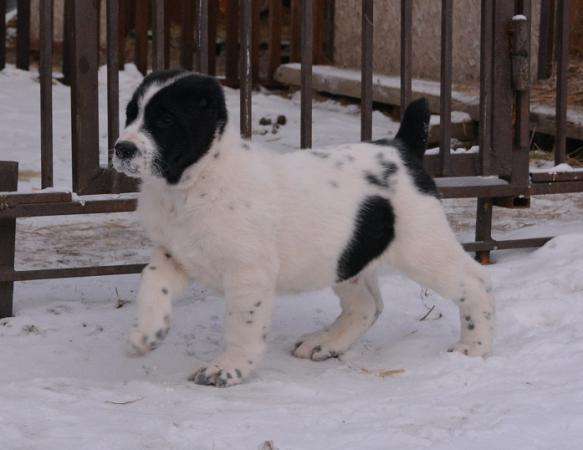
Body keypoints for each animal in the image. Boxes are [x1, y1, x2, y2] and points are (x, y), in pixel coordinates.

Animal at [115, 70, 498, 386]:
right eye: (130, 113)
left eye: (165, 119)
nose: (121, 148)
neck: (194, 182)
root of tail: (401, 150)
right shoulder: (175, 254)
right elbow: (152, 283)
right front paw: (145, 335)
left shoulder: (247, 273)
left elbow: (242, 325)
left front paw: (228, 368)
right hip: (346, 257)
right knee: (367, 305)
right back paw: (325, 343)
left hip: (421, 247)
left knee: (475, 282)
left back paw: (474, 346)